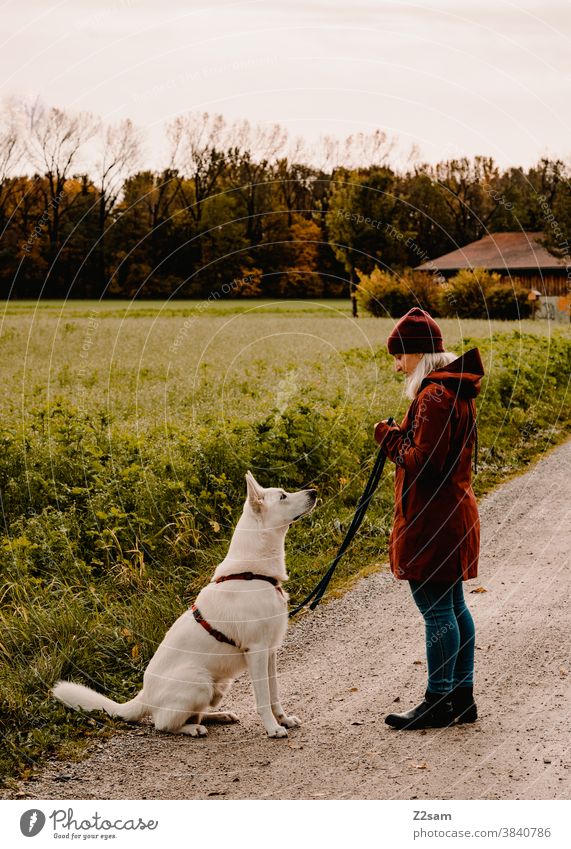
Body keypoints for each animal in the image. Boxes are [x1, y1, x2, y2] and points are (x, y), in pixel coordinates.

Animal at [52, 470, 318, 736]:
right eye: (283, 496)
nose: (314, 492)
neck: (252, 573)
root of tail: (144, 697)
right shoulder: (257, 651)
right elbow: (263, 699)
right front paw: (272, 728)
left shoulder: (270, 651)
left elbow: (274, 695)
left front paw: (283, 719)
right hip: (198, 681)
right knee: (164, 723)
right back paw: (192, 729)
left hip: (218, 685)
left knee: (192, 715)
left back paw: (219, 716)